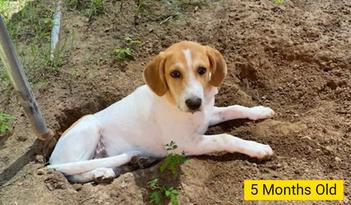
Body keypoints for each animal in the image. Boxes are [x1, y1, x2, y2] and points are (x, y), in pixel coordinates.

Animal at [48, 40, 276, 182]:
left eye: (202, 70)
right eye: (175, 74)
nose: (194, 103)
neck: (174, 102)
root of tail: (52, 158)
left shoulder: (207, 114)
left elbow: (235, 108)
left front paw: (260, 111)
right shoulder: (185, 144)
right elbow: (225, 138)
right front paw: (257, 148)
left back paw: (120, 166)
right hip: (89, 127)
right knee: (71, 171)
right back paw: (102, 171)